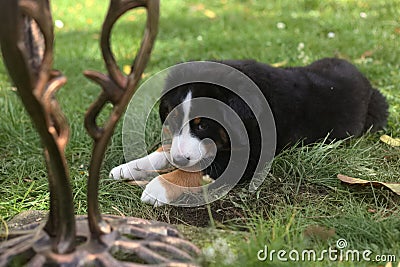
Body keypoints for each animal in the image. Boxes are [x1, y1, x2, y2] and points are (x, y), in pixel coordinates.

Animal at [109, 57, 388, 206]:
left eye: (203, 124)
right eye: (174, 119)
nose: (179, 159)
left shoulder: (252, 156)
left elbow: (198, 169)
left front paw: (157, 188)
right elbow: (164, 149)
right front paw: (130, 167)